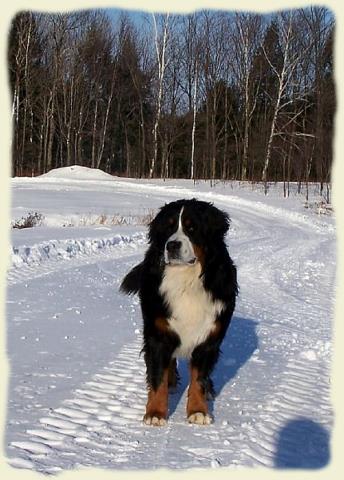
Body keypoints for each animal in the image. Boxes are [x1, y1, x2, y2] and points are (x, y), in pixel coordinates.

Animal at [120, 200, 236, 428]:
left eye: (192, 228)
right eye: (168, 228)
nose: (171, 245)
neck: (186, 280)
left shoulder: (209, 338)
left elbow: (199, 379)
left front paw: (198, 411)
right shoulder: (158, 333)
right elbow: (158, 378)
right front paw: (155, 413)